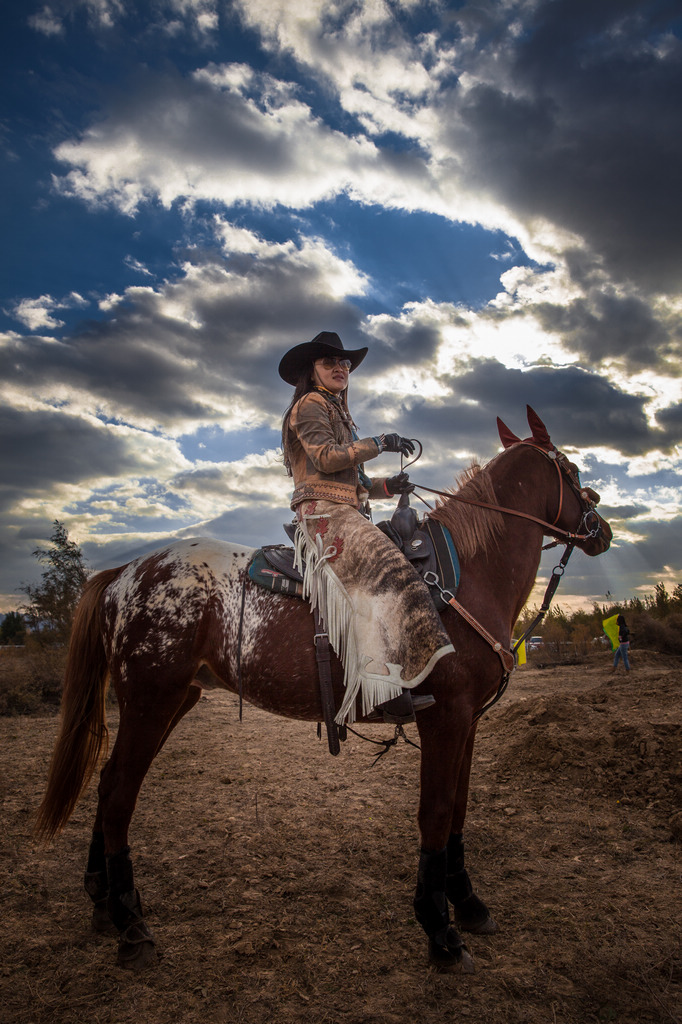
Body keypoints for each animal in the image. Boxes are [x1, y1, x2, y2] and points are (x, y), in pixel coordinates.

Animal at [35, 405, 610, 966]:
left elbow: (458, 811)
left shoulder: (468, 721)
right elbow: (435, 814)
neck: (469, 573)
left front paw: (467, 903)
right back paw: (132, 928)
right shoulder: (444, 718)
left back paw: (104, 903)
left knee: (108, 781)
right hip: (150, 700)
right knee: (118, 793)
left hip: (174, 699)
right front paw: (439, 930)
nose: (602, 527)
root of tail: (125, 572)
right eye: (574, 471)